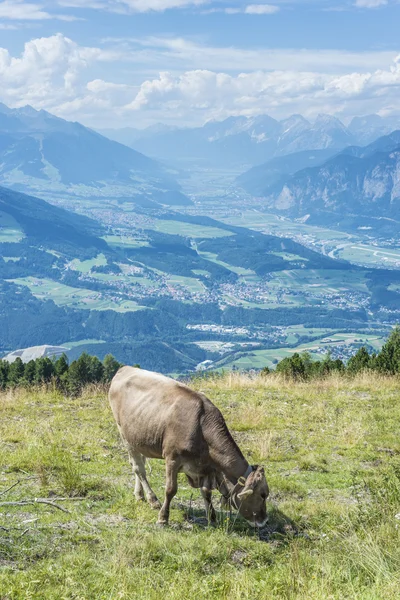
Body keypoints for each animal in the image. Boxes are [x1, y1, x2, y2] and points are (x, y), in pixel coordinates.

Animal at [108, 366, 268, 524]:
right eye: (262, 494)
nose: (264, 520)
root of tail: (125, 368)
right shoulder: (172, 458)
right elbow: (171, 489)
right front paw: (163, 518)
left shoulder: (205, 468)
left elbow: (206, 492)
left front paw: (212, 517)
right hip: (124, 434)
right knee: (139, 468)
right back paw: (153, 499)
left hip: (139, 438)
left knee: (139, 463)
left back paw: (139, 495)